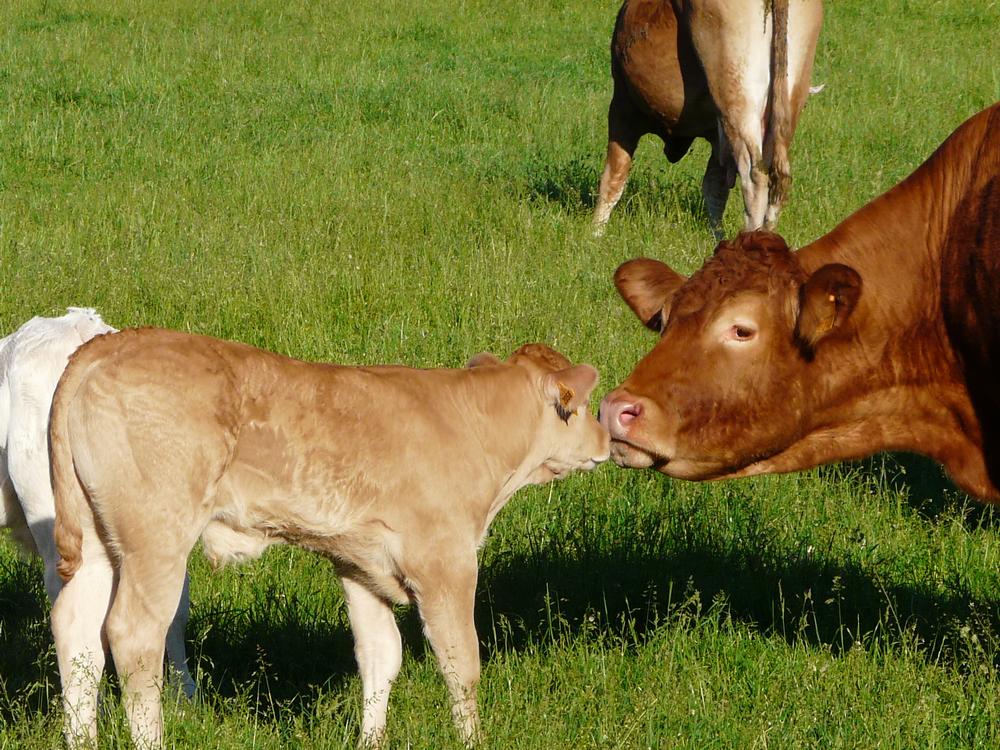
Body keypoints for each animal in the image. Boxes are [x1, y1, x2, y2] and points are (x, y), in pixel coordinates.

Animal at [49, 329, 610, 748]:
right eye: (582, 405)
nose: (607, 439)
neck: (472, 426)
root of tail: (113, 343)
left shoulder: (360, 563)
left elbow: (380, 656)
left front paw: (371, 741)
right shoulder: (445, 563)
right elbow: (461, 662)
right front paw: (472, 740)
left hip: (100, 542)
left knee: (77, 631)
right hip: (155, 540)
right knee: (132, 635)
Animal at [593, 0, 823, 238]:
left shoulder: (622, 106)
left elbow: (613, 175)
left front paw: (595, 233)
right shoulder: (717, 135)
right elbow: (714, 188)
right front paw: (717, 236)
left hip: (735, 95)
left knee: (755, 174)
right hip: (788, 97)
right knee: (780, 176)